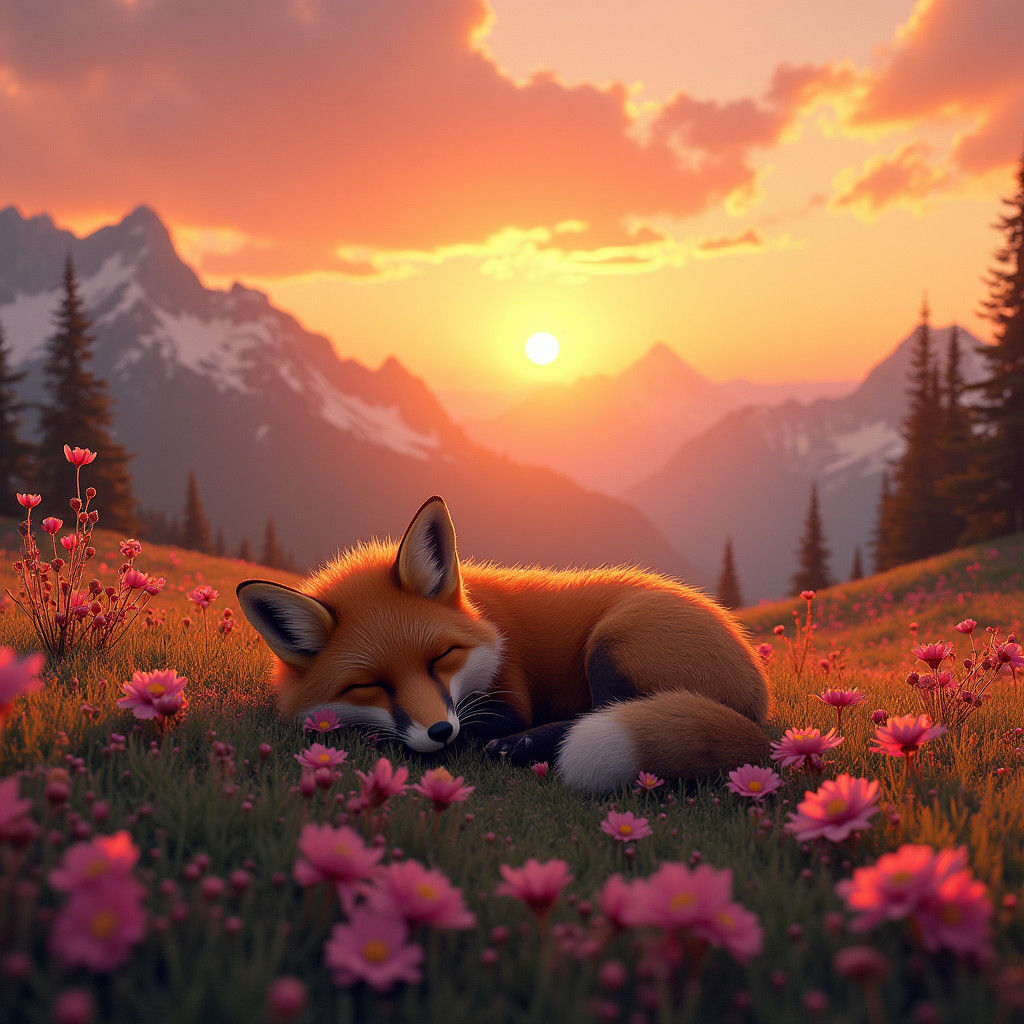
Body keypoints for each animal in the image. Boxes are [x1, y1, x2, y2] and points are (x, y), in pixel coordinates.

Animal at [236, 496, 771, 794]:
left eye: (441, 658)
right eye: (369, 685)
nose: (439, 732)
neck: (484, 617)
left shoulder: (510, 698)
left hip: (613, 641)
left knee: (602, 710)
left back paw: (519, 747)